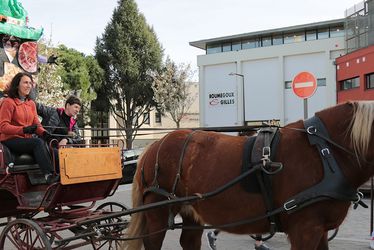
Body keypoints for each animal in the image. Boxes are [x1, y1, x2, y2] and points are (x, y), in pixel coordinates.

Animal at [124, 100, 374, 249]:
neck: (325, 152)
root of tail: (154, 146)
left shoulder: (319, 231)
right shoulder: (305, 229)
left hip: (191, 211)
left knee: (189, 241)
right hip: (157, 212)